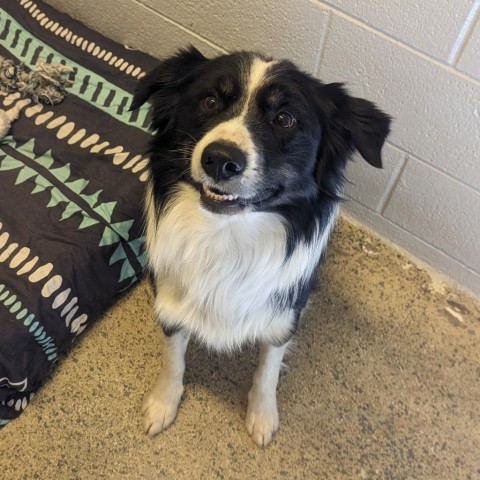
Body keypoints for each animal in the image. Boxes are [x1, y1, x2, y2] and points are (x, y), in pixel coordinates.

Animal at [130, 47, 390, 448]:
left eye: (284, 118)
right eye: (209, 101)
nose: (220, 159)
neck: (226, 237)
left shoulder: (283, 313)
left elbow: (268, 368)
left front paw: (262, 416)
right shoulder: (170, 300)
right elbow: (173, 358)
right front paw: (163, 403)